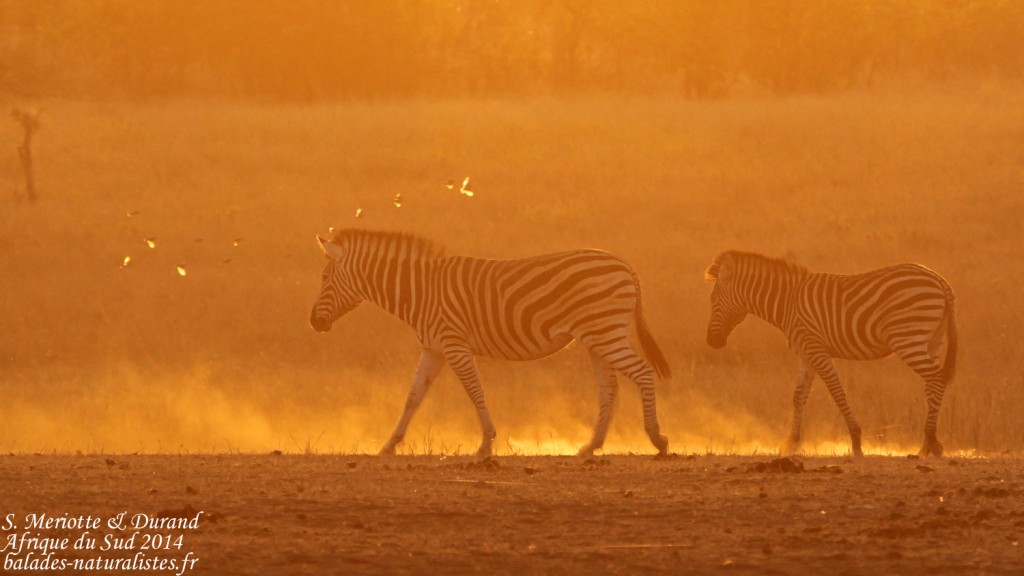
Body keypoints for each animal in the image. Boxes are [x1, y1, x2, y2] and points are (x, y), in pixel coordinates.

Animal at [309, 229, 671, 457]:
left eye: (325, 279)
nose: (314, 323)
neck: (421, 291)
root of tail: (624, 264)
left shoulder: (454, 345)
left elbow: (475, 391)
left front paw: (485, 444)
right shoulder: (434, 348)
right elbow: (412, 397)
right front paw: (389, 445)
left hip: (606, 333)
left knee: (642, 373)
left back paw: (657, 439)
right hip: (597, 338)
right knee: (609, 388)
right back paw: (591, 446)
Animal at [704, 250, 957, 457]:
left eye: (713, 300)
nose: (711, 342)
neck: (788, 302)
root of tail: (940, 281)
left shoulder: (816, 349)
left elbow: (837, 392)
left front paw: (856, 441)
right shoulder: (805, 353)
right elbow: (798, 396)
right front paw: (790, 443)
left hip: (908, 338)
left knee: (936, 378)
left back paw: (930, 442)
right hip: (931, 340)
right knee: (933, 384)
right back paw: (928, 444)